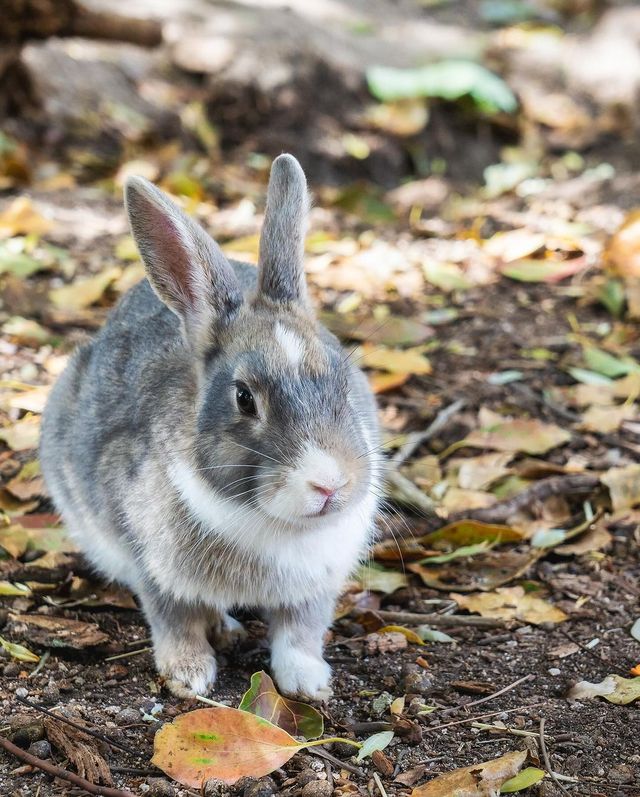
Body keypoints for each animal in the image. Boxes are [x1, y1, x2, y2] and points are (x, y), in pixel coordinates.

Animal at [41, 154, 380, 696]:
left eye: (344, 381)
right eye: (243, 398)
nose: (329, 485)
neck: (273, 523)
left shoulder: (316, 586)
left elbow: (300, 632)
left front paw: (308, 683)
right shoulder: (153, 567)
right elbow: (174, 618)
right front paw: (189, 675)